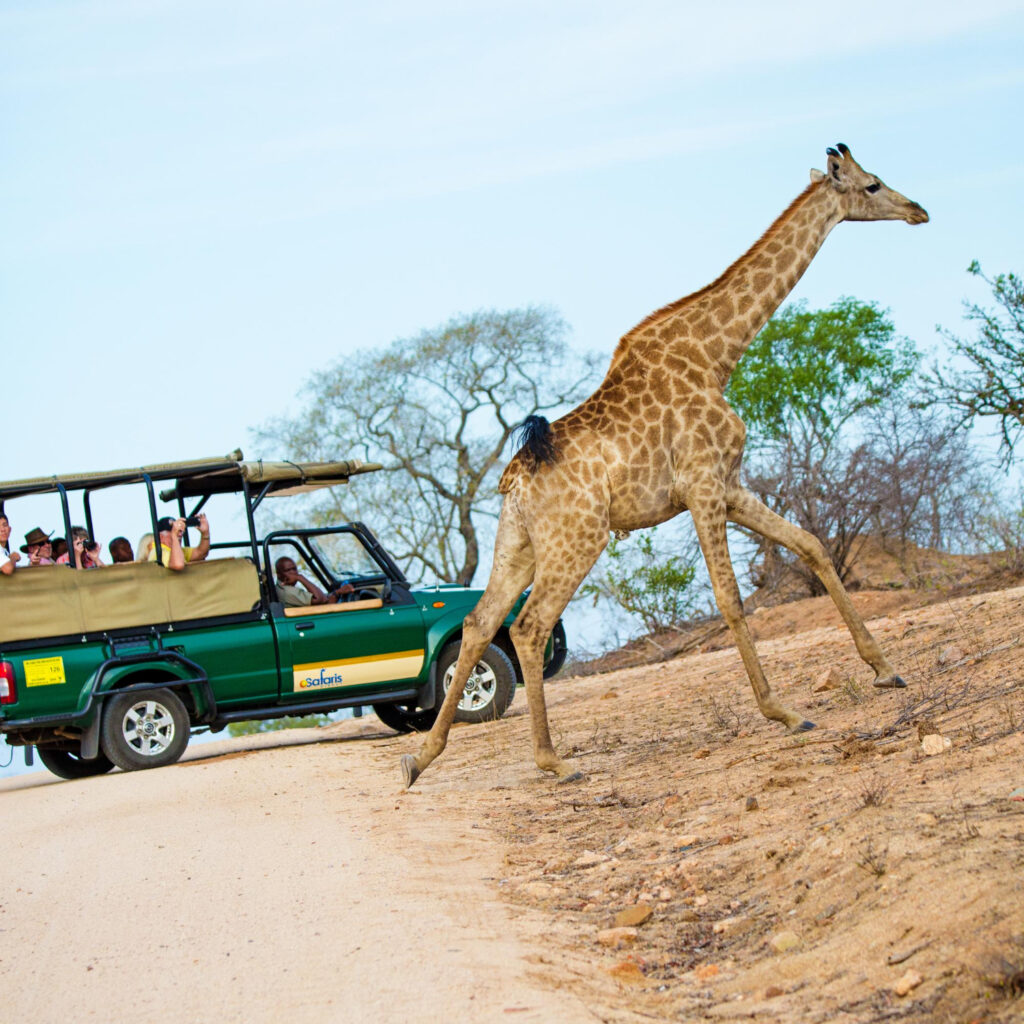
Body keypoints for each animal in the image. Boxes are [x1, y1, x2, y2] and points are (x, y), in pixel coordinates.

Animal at [402, 143, 928, 789]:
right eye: (873, 184)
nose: (919, 210)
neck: (717, 353)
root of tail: (515, 478)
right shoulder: (702, 484)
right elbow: (730, 596)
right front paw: (783, 711)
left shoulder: (729, 484)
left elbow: (811, 545)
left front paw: (886, 670)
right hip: (580, 537)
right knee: (528, 626)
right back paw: (554, 761)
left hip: (517, 541)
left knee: (479, 624)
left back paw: (421, 757)